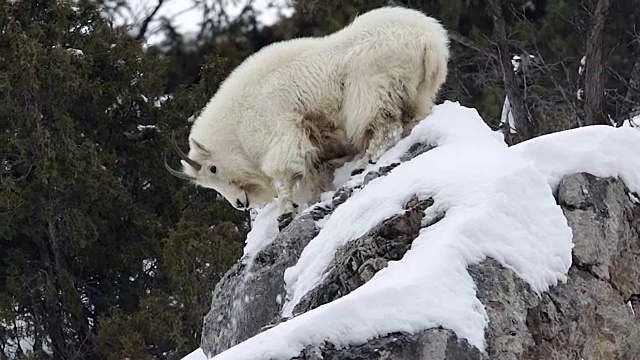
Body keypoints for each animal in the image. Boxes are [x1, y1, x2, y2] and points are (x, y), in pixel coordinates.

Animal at [168, 5, 452, 229]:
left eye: (213, 168)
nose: (239, 203)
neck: (236, 125)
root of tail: (429, 40)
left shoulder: (280, 133)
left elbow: (284, 174)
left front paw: (285, 213)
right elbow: (314, 172)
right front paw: (316, 198)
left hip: (370, 87)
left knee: (385, 126)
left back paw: (364, 162)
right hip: (417, 92)